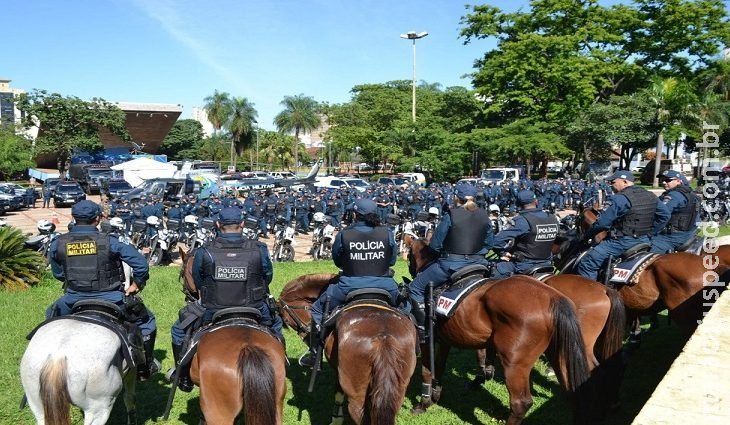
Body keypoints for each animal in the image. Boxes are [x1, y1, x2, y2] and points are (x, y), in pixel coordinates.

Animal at [278, 274, 418, 424]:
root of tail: (383, 338)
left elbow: (338, 392)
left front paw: (336, 419)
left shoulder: (338, 371)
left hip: (357, 398)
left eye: (286, 320)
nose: (307, 336)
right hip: (397, 393)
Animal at [400, 232, 596, 424]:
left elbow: (427, 371)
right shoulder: (445, 341)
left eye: (409, 256)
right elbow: (439, 368)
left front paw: (423, 404)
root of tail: (553, 297)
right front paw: (435, 396)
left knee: (520, 403)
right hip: (560, 355)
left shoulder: (428, 340)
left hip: (514, 364)